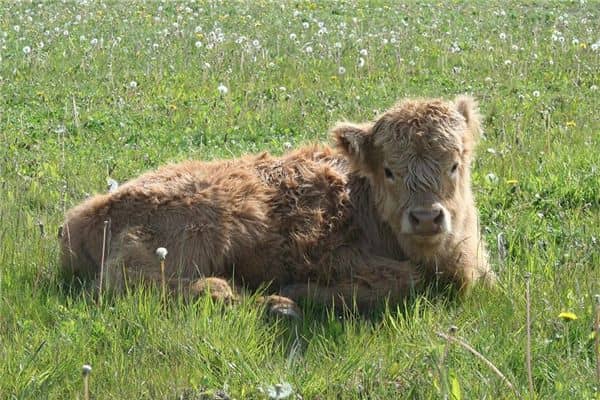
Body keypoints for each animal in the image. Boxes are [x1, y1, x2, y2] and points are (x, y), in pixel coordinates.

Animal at [61, 95, 494, 314]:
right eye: (389, 170)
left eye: (455, 163)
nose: (426, 218)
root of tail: (88, 212)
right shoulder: (335, 256)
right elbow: (406, 280)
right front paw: (295, 292)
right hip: (206, 226)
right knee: (126, 281)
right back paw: (246, 296)